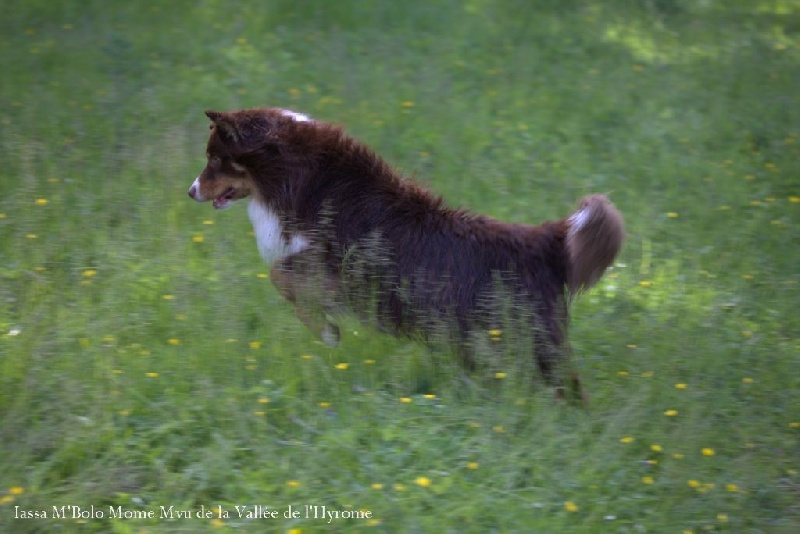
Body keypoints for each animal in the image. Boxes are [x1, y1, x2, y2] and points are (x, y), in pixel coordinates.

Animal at [189, 108, 624, 402]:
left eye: (213, 158)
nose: (190, 192)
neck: (290, 168)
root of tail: (546, 239)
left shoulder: (335, 265)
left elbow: (281, 276)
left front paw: (329, 332)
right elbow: (283, 280)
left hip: (532, 340)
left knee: (566, 384)